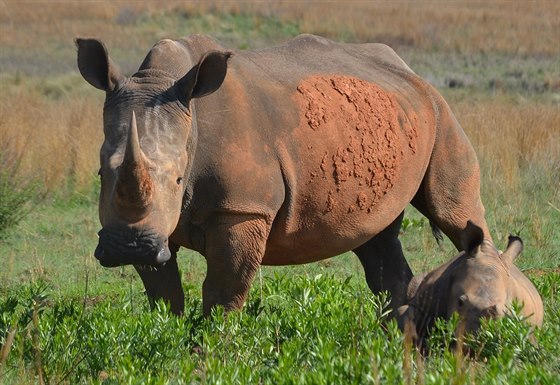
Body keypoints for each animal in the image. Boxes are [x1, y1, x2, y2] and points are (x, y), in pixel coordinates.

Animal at [77, 33, 490, 316]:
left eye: (179, 179)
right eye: (100, 174)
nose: (127, 247)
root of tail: (410, 71)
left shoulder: (243, 209)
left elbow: (223, 292)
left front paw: (209, 349)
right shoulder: (151, 226)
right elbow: (164, 294)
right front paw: (171, 337)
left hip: (442, 112)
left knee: (455, 213)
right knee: (376, 239)